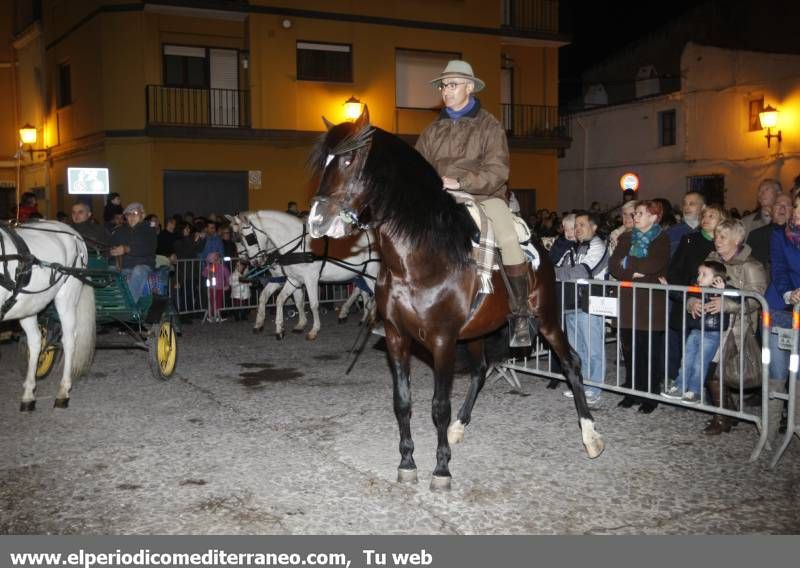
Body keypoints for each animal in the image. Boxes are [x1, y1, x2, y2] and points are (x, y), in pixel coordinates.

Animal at [0, 220, 95, 410]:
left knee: (68, 340)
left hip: (66, 298)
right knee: (36, 341)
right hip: (29, 305)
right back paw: (28, 395)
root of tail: (75, 234)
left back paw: (63, 392)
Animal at [230, 211, 380, 340]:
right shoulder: (293, 279)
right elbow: (281, 299)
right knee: (364, 293)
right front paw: (278, 328)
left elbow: (312, 304)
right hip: (363, 274)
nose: (251, 262)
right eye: (237, 238)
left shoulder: (310, 279)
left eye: (248, 238)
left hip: (372, 274)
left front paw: (313, 330)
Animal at [306, 108, 600, 490]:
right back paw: (459, 427)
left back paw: (591, 436)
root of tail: (542, 244)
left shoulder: (442, 340)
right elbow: (403, 402)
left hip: (547, 319)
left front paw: (441, 468)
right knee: (480, 370)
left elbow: (438, 405)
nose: (316, 221)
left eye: (348, 158)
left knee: (572, 363)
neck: (418, 258)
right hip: (477, 332)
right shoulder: (398, 338)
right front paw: (407, 462)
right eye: (323, 161)